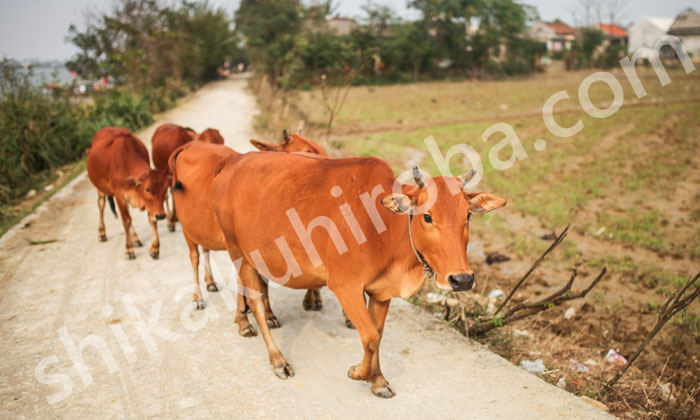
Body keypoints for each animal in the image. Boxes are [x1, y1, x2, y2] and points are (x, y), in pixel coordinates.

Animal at [87, 127, 169, 260]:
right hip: (100, 188)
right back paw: (102, 232)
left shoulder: (149, 204)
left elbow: (151, 220)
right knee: (101, 205)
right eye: (147, 189)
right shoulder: (119, 196)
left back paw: (135, 238)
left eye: (165, 188)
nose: (161, 216)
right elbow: (126, 221)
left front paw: (155, 249)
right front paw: (129, 250)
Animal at [211, 153, 506, 396]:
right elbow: (370, 337)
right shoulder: (345, 286)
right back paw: (277, 359)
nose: (462, 279)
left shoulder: (382, 291)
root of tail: (233, 163)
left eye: (468, 215)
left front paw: (378, 381)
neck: (383, 227)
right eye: (427, 216)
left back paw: (247, 322)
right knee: (256, 301)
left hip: (252, 256)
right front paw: (358, 373)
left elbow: (378, 335)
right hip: (237, 249)